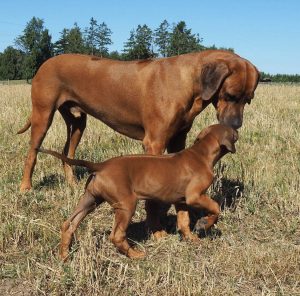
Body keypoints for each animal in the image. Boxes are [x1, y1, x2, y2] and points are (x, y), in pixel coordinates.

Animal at [17, 49, 258, 237]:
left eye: (248, 99)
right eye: (230, 95)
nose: (236, 126)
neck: (187, 81)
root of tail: (46, 62)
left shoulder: (178, 141)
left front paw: (187, 228)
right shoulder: (154, 142)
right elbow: (153, 201)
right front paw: (158, 231)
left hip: (77, 121)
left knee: (67, 151)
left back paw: (72, 184)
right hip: (42, 115)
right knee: (32, 153)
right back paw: (25, 187)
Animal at [38, 123, 238, 260]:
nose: (238, 127)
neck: (201, 153)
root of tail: (101, 165)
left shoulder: (181, 200)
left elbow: (184, 222)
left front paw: (192, 239)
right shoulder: (194, 196)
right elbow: (216, 208)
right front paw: (205, 224)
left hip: (90, 200)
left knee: (69, 224)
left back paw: (64, 256)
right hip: (126, 204)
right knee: (116, 236)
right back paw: (136, 255)